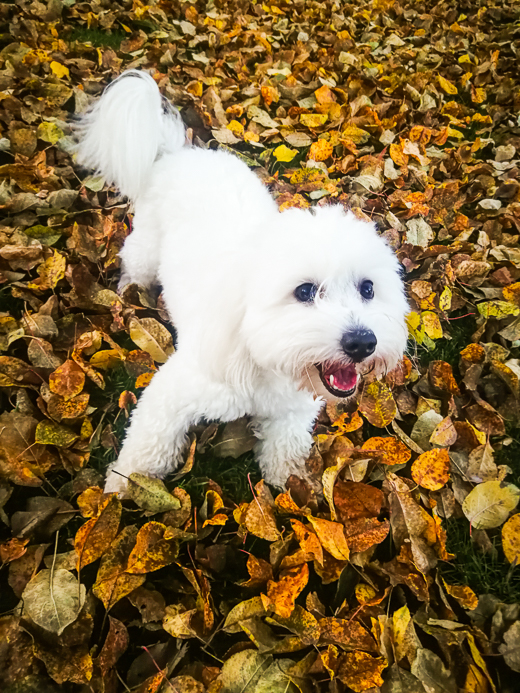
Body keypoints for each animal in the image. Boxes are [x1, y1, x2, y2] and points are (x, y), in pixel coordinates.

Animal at [76, 70, 410, 492]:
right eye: (304, 291)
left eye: (368, 288)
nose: (363, 342)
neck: (266, 364)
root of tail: (179, 153)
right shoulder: (175, 393)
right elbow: (147, 447)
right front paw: (124, 489)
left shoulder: (291, 412)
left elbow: (285, 447)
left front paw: (290, 482)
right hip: (147, 248)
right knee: (136, 265)